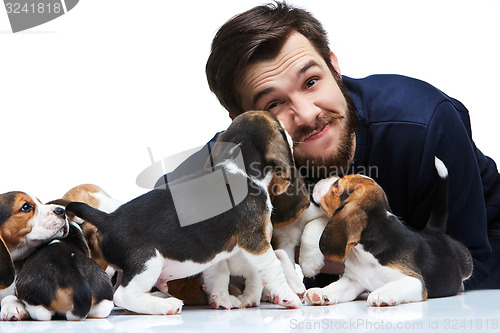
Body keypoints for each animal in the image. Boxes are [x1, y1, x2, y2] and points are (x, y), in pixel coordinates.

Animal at [65, 111, 302, 314]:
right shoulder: (256, 241)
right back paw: (166, 305)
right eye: (279, 124)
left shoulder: (215, 249)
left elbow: (219, 274)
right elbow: (274, 267)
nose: (291, 132)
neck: (239, 166)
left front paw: (223, 300)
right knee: (123, 295)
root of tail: (108, 218)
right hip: (147, 262)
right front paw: (289, 297)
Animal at [304, 158, 472, 306]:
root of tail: (434, 231)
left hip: (466, 264)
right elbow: (336, 287)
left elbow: (397, 285)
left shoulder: (415, 281)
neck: (366, 253)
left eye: (336, 184)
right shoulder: (353, 281)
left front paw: (382, 293)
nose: (321, 177)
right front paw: (320, 293)